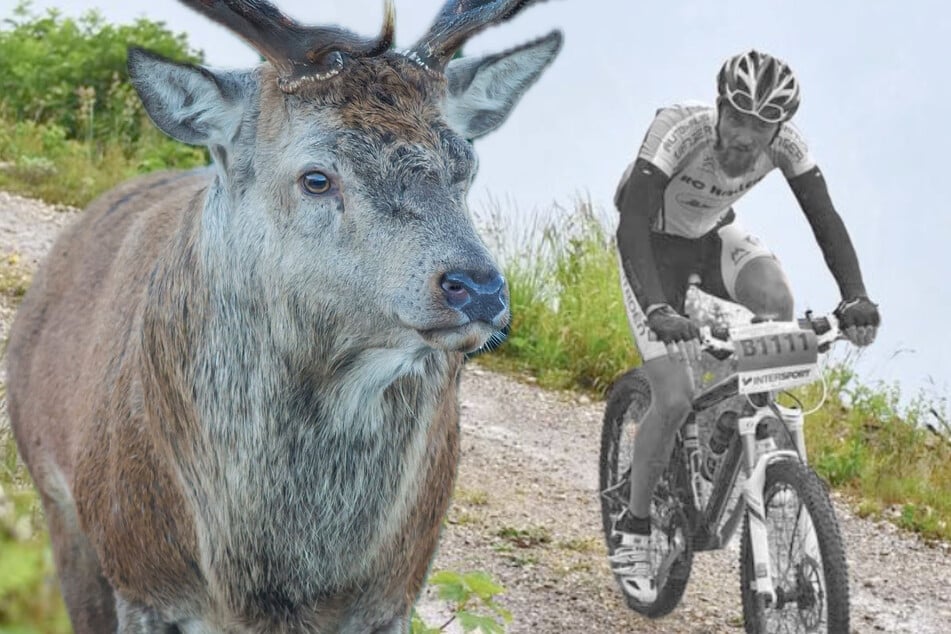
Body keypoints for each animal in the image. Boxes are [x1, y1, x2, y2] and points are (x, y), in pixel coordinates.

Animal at [4, 1, 561, 631]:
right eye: (316, 177)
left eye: (465, 165)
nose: (479, 288)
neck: (273, 591)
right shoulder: (140, 577)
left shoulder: (396, 593)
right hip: (58, 501)